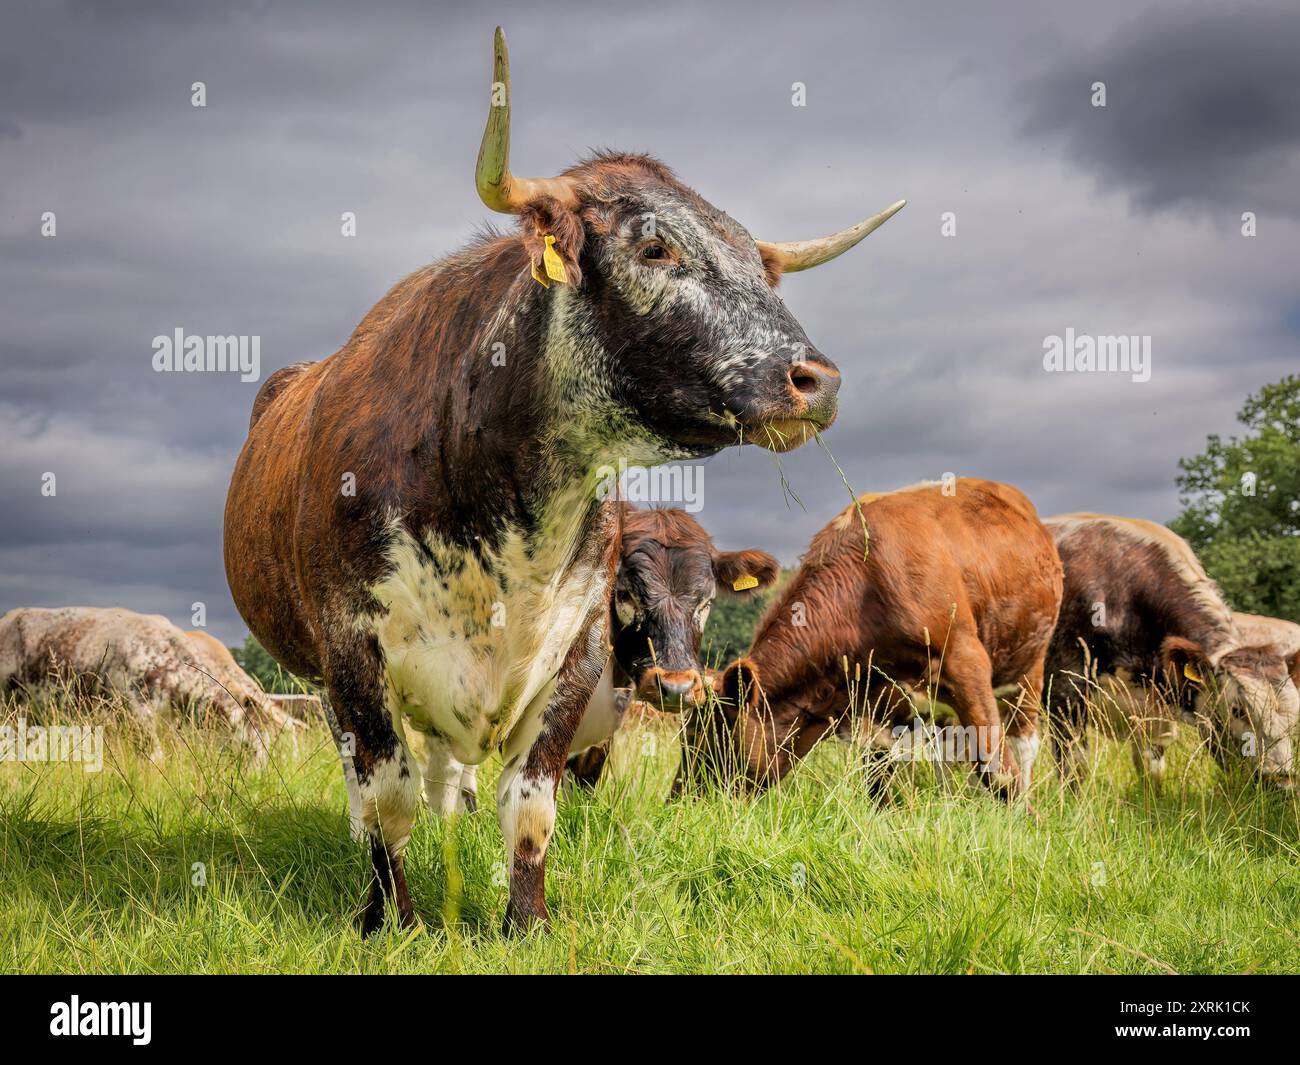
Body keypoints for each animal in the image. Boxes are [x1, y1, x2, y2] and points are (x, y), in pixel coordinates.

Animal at [222, 27, 904, 936]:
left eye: (762, 267)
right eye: (654, 247)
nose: (817, 380)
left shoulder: (574, 650)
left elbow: (532, 802)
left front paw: (527, 920)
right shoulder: (352, 647)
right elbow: (386, 798)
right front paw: (392, 919)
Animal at [690, 479, 1062, 800]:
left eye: (715, 737)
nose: (688, 800)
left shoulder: (965, 661)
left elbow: (998, 770)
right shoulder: (876, 702)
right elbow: (879, 778)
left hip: (1029, 664)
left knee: (1022, 744)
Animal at [1042, 515, 1299, 789]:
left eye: (1296, 714)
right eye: (1237, 710)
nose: (1284, 781)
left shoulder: (1155, 715)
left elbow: (1151, 772)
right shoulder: (1064, 694)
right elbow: (1074, 769)